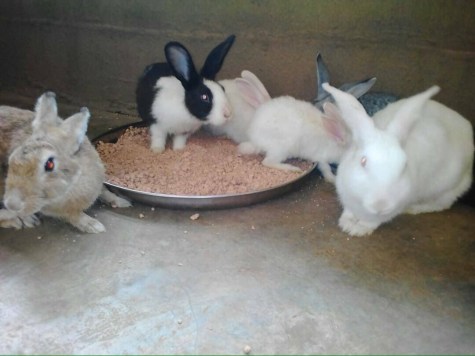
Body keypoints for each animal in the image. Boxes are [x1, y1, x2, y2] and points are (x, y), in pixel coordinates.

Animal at [0, 91, 131, 234]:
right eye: (11, 159)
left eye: (49, 164)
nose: (11, 204)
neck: (74, 181)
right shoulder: (56, 209)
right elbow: (74, 216)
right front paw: (94, 226)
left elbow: (105, 192)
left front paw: (122, 202)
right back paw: (24, 220)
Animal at [322, 81, 474, 235]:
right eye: (363, 161)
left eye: (404, 166)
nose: (381, 204)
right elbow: (349, 211)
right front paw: (346, 223)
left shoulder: (395, 207)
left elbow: (373, 221)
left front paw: (358, 230)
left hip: (448, 190)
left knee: (441, 205)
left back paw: (414, 208)